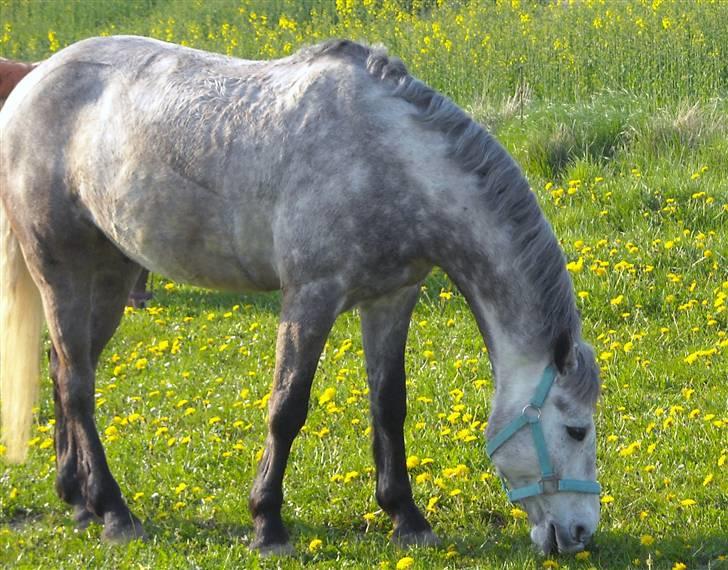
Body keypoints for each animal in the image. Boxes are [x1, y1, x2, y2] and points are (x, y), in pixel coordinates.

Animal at [0, 35, 600, 552]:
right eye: (575, 430)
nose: (579, 533)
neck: (390, 159)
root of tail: (32, 82)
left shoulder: (392, 297)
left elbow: (389, 405)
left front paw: (406, 517)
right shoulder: (311, 296)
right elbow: (287, 407)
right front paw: (268, 523)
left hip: (111, 272)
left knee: (65, 368)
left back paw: (77, 500)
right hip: (59, 268)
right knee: (76, 384)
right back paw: (113, 512)